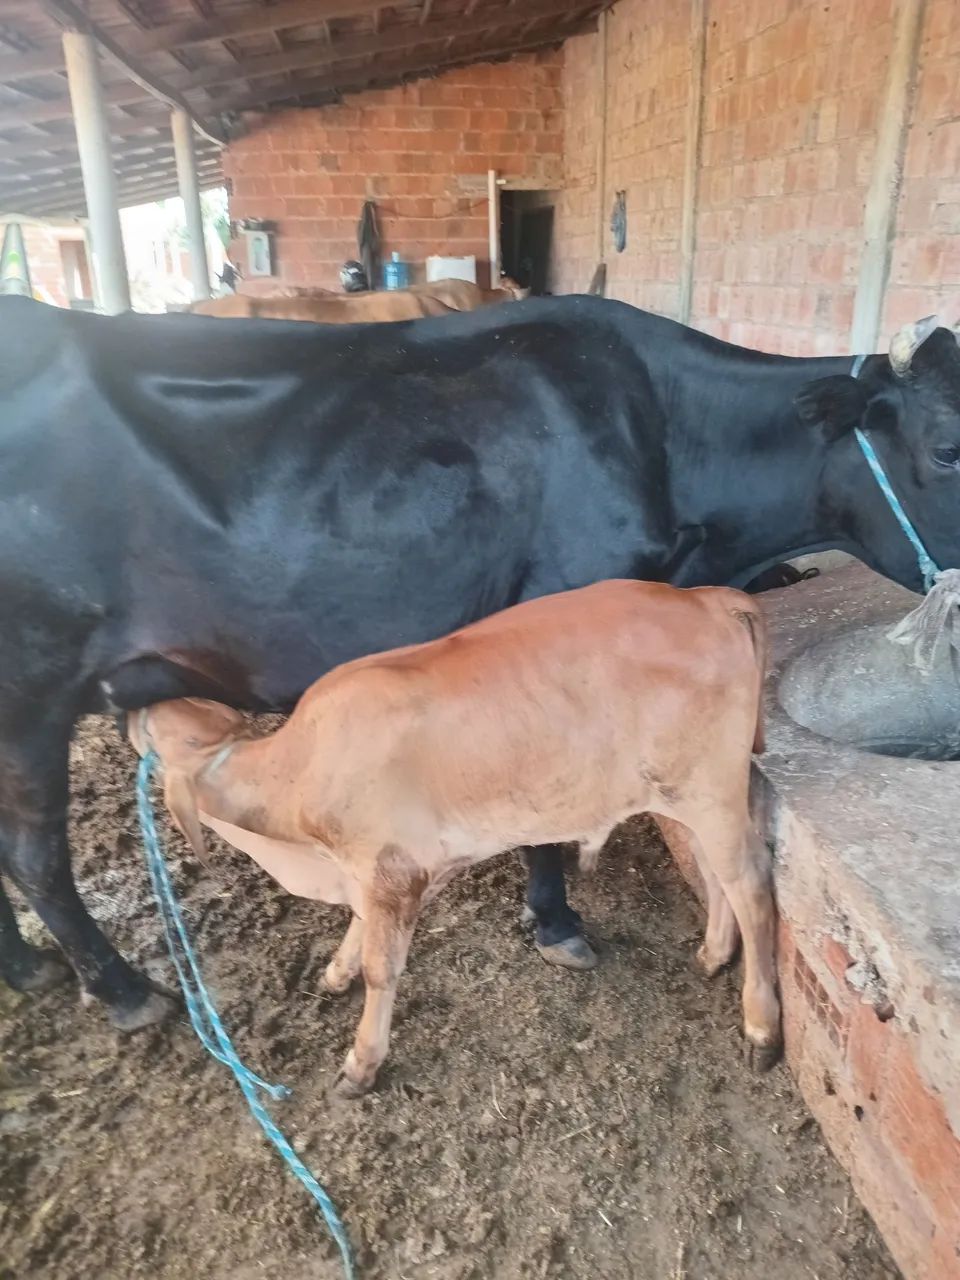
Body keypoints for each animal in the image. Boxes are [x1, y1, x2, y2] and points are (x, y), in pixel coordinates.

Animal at [1, 295, 958, 1029]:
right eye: (946, 447)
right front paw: (557, 921)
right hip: (31, 689)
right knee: (35, 856)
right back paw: (124, 992)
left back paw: (30, 970)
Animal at [130, 579, 775, 1094]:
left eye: (159, 737)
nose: (132, 710)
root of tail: (707, 598)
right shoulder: (375, 869)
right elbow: (359, 930)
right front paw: (335, 973)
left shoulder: (393, 872)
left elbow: (381, 968)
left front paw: (361, 1063)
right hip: (687, 794)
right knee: (716, 874)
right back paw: (713, 954)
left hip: (710, 789)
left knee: (752, 888)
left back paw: (762, 1027)